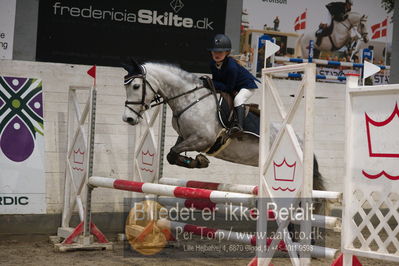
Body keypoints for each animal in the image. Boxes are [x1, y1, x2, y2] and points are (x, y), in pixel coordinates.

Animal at [122, 60, 324, 191]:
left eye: (136, 86)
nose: (128, 119)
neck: (190, 98)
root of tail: (302, 143)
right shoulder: (185, 137)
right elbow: (172, 155)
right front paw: (198, 161)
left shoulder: (203, 139)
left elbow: (172, 152)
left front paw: (199, 161)